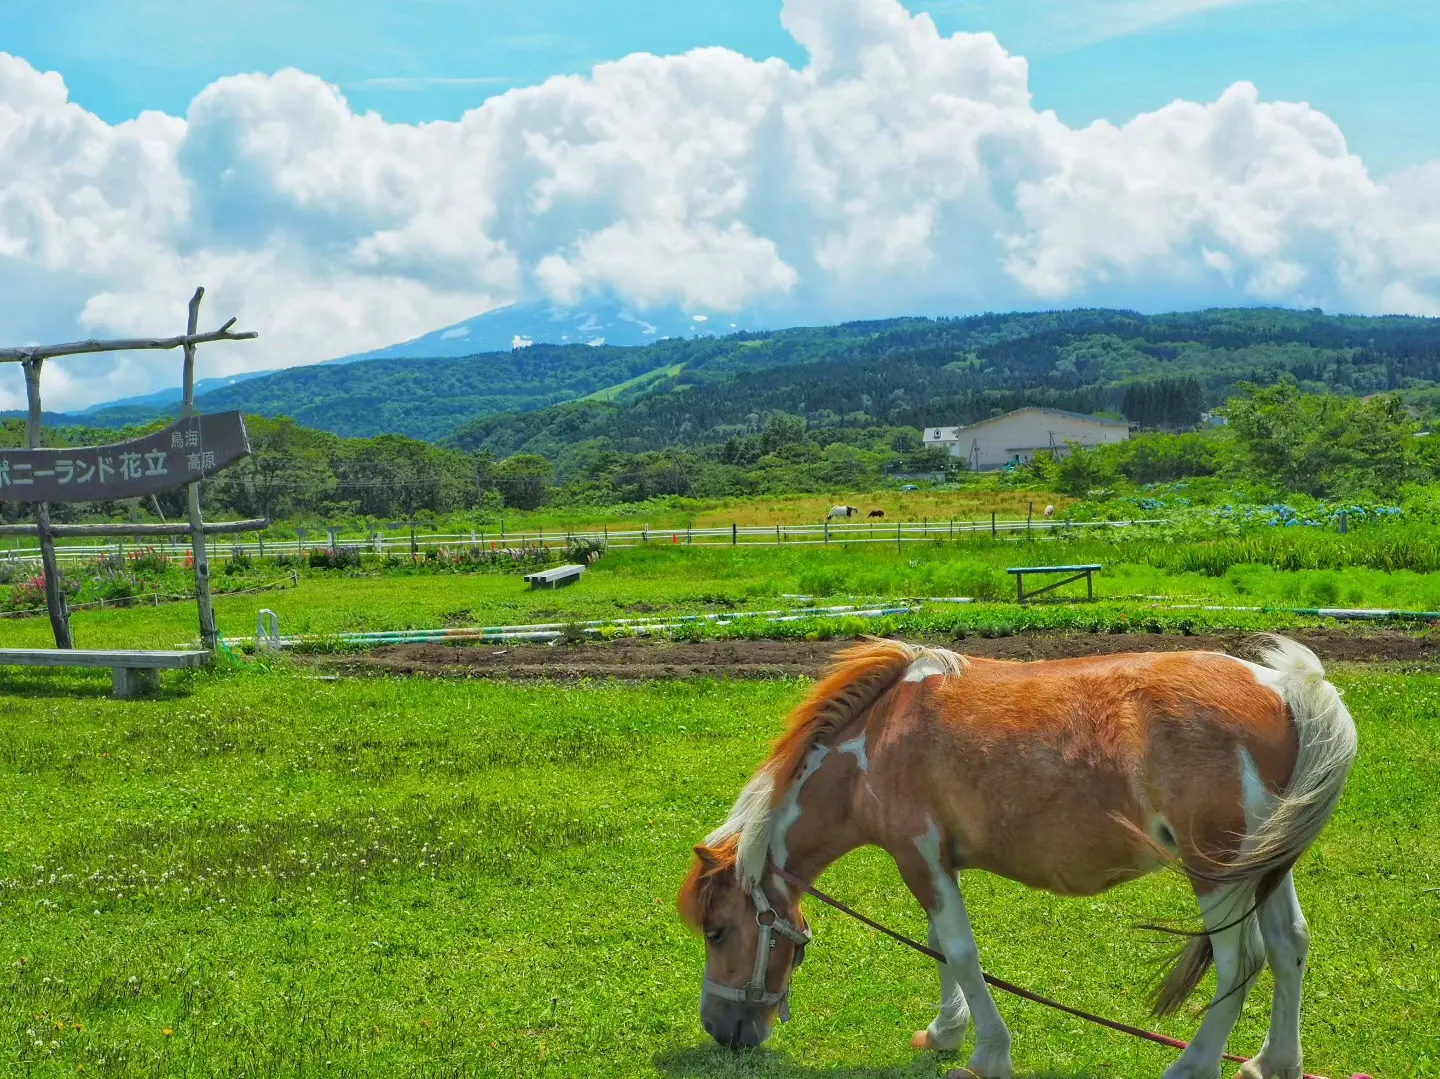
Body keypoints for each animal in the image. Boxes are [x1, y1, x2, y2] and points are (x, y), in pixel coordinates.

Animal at [679, 630, 1353, 1077]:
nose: (721, 1029)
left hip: (1217, 871)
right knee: (1289, 946)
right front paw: (946, 1031)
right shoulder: (934, 863)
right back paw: (1275, 1061)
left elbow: (958, 951)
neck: (876, 742)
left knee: (1242, 962)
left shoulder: (918, 858)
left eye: (717, 932)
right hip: (1266, 868)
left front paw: (988, 1051)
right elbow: (941, 948)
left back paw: (1191, 1065)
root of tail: (1285, 690)